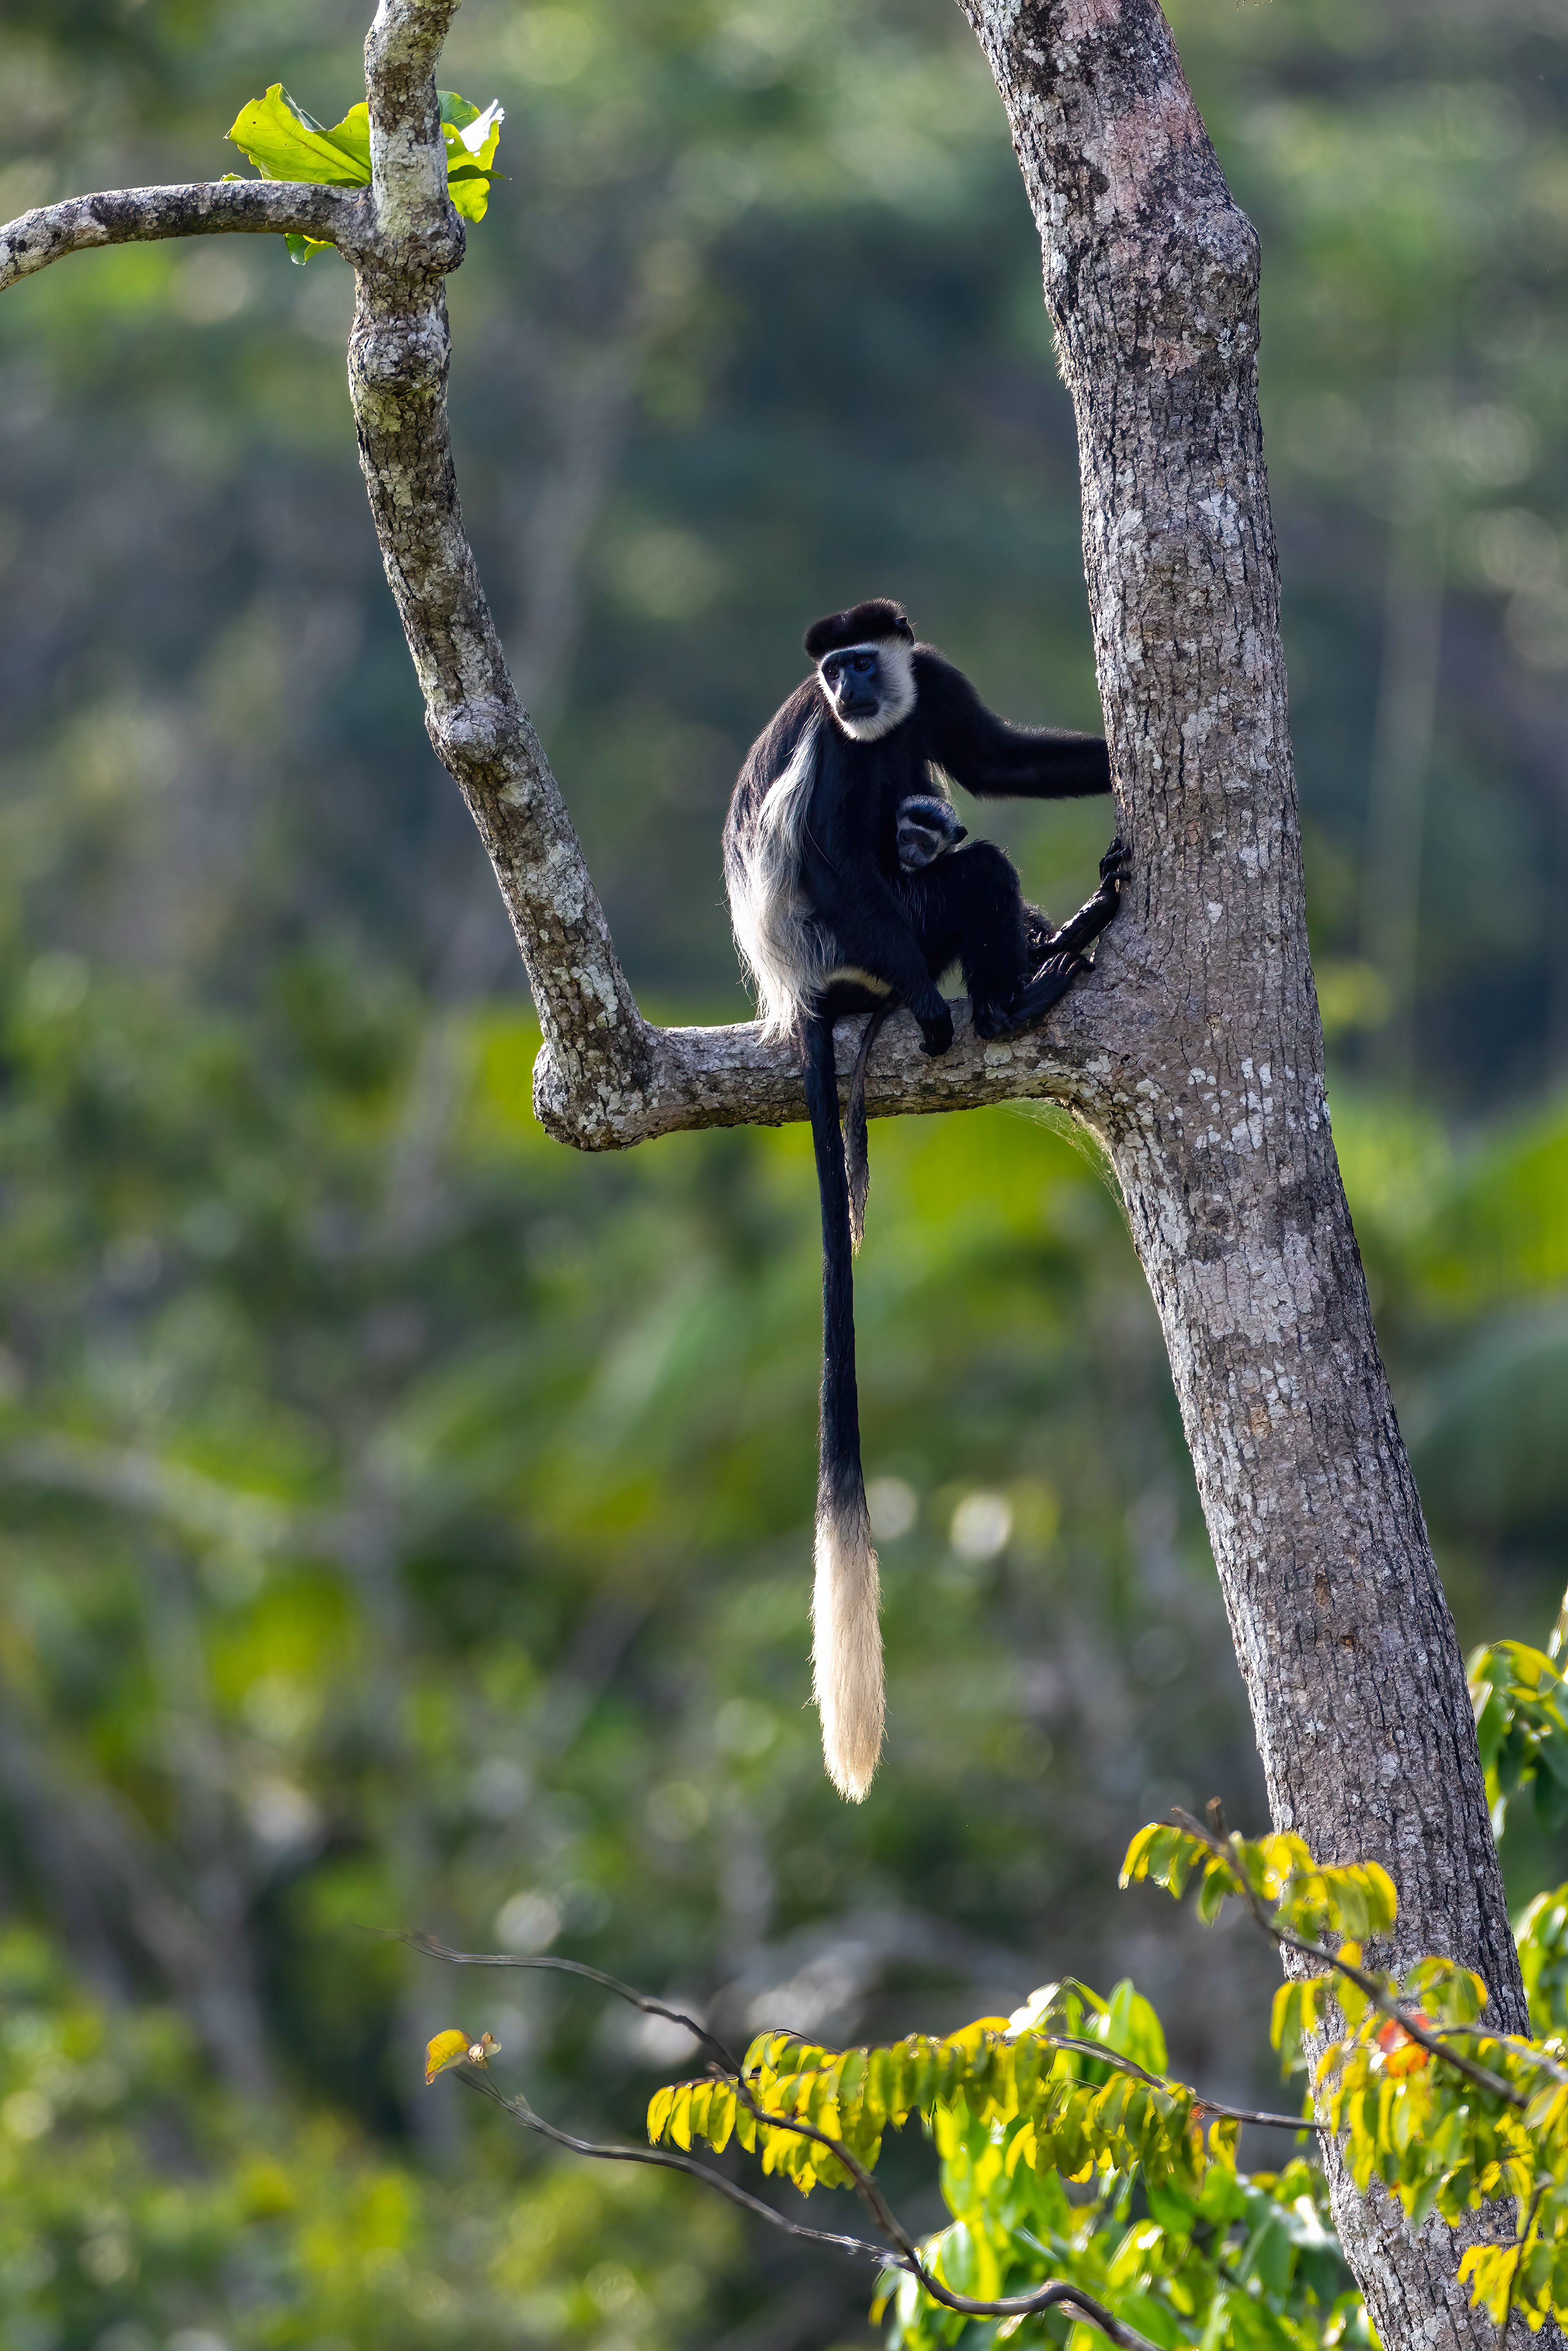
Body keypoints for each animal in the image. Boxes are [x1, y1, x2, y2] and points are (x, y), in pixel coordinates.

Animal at [723, 598, 1127, 1801]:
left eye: (866, 660)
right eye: (834, 673)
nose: (852, 688)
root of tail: (802, 993)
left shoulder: (929, 682)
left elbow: (996, 759)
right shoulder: (830, 752)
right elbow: (827, 849)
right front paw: (938, 1006)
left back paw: (1054, 939)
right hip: (853, 939)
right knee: (951, 874)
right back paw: (1002, 996)